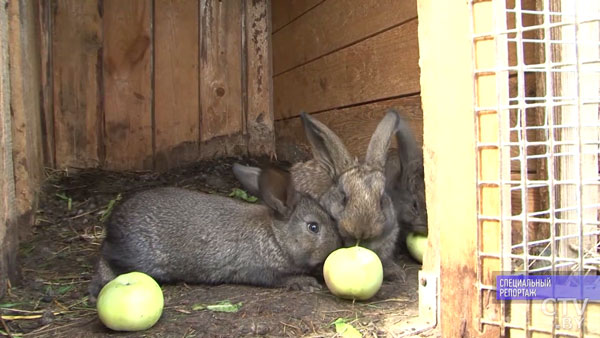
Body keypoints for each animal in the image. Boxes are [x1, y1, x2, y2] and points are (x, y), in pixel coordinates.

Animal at [89, 166, 342, 298]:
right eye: (313, 227)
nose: (338, 246)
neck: (275, 236)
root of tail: (112, 226)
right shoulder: (259, 270)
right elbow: (280, 278)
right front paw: (306, 283)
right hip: (139, 258)